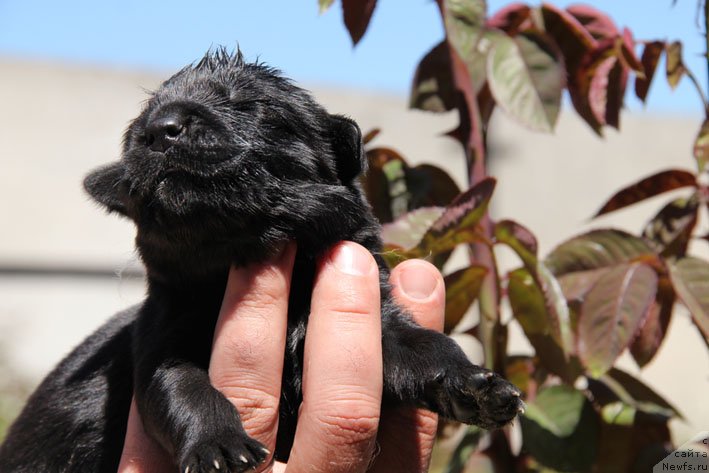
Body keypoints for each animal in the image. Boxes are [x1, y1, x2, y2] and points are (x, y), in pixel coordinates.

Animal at [0, 49, 520, 470]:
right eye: (137, 127)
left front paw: (479, 387)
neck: (237, 252)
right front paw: (218, 444)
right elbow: (185, 390)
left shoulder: (381, 323)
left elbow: (427, 347)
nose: (160, 129)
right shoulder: (162, 343)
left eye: (249, 106)